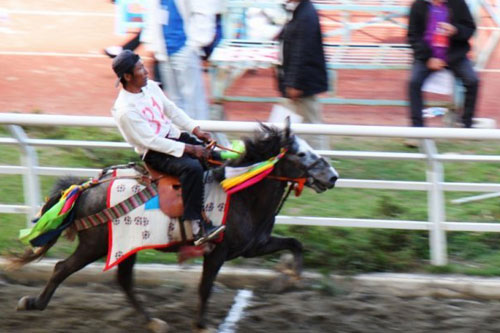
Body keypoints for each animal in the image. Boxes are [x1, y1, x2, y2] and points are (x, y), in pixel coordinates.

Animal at [11, 120, 338, 330]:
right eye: (300, 153)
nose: (332, 176)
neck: (241, 192)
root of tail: (87, 187)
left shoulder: (253, 245)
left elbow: (295, 243)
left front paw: (291, 274)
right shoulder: (217, 251)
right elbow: (205, 287)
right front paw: (201, 324)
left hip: (125, 247)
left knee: (123, 281)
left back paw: (152, 321)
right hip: (96, 244)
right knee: (62, 268)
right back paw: (32, 303)